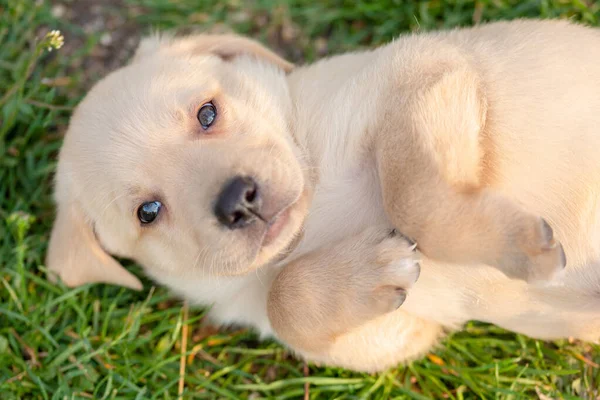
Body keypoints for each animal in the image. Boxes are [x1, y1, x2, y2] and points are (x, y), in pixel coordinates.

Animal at [47, 19, 600, 372]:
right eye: (148, 211)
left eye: (207, 114)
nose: (238, 200)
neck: (312, 222)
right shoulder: (395, 334)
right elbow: (283, 301)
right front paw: (369, 272)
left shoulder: (421, 69)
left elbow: (413, 196)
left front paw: (522, 247)